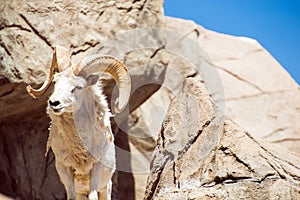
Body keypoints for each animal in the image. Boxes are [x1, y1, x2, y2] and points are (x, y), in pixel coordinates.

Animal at [26, 45, 131, 200]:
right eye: (55, 82)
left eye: (78, 87)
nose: (54, 103)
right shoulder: (65, 168)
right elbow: (71, 196)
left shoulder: (96, 166)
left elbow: (93, 196)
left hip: (105, 187)